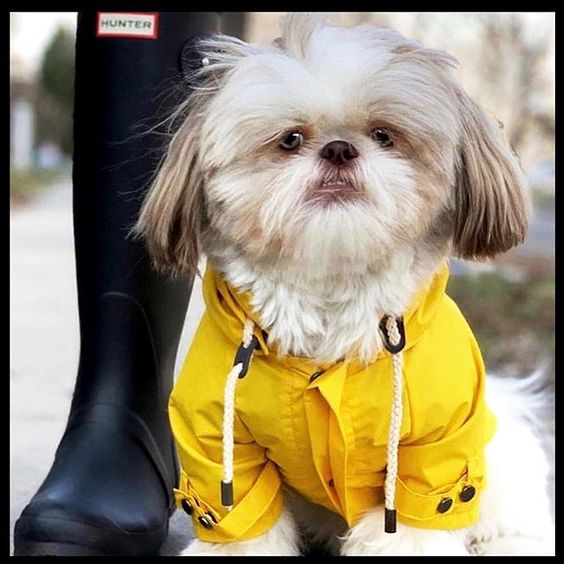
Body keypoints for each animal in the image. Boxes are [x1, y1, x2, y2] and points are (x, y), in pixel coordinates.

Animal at [134, 12, 552, 556]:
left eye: (383, 134)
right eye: (290, 139)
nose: (339, 149)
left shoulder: (431, 459)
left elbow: (411, 530)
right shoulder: (221, 454)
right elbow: (244, 525)